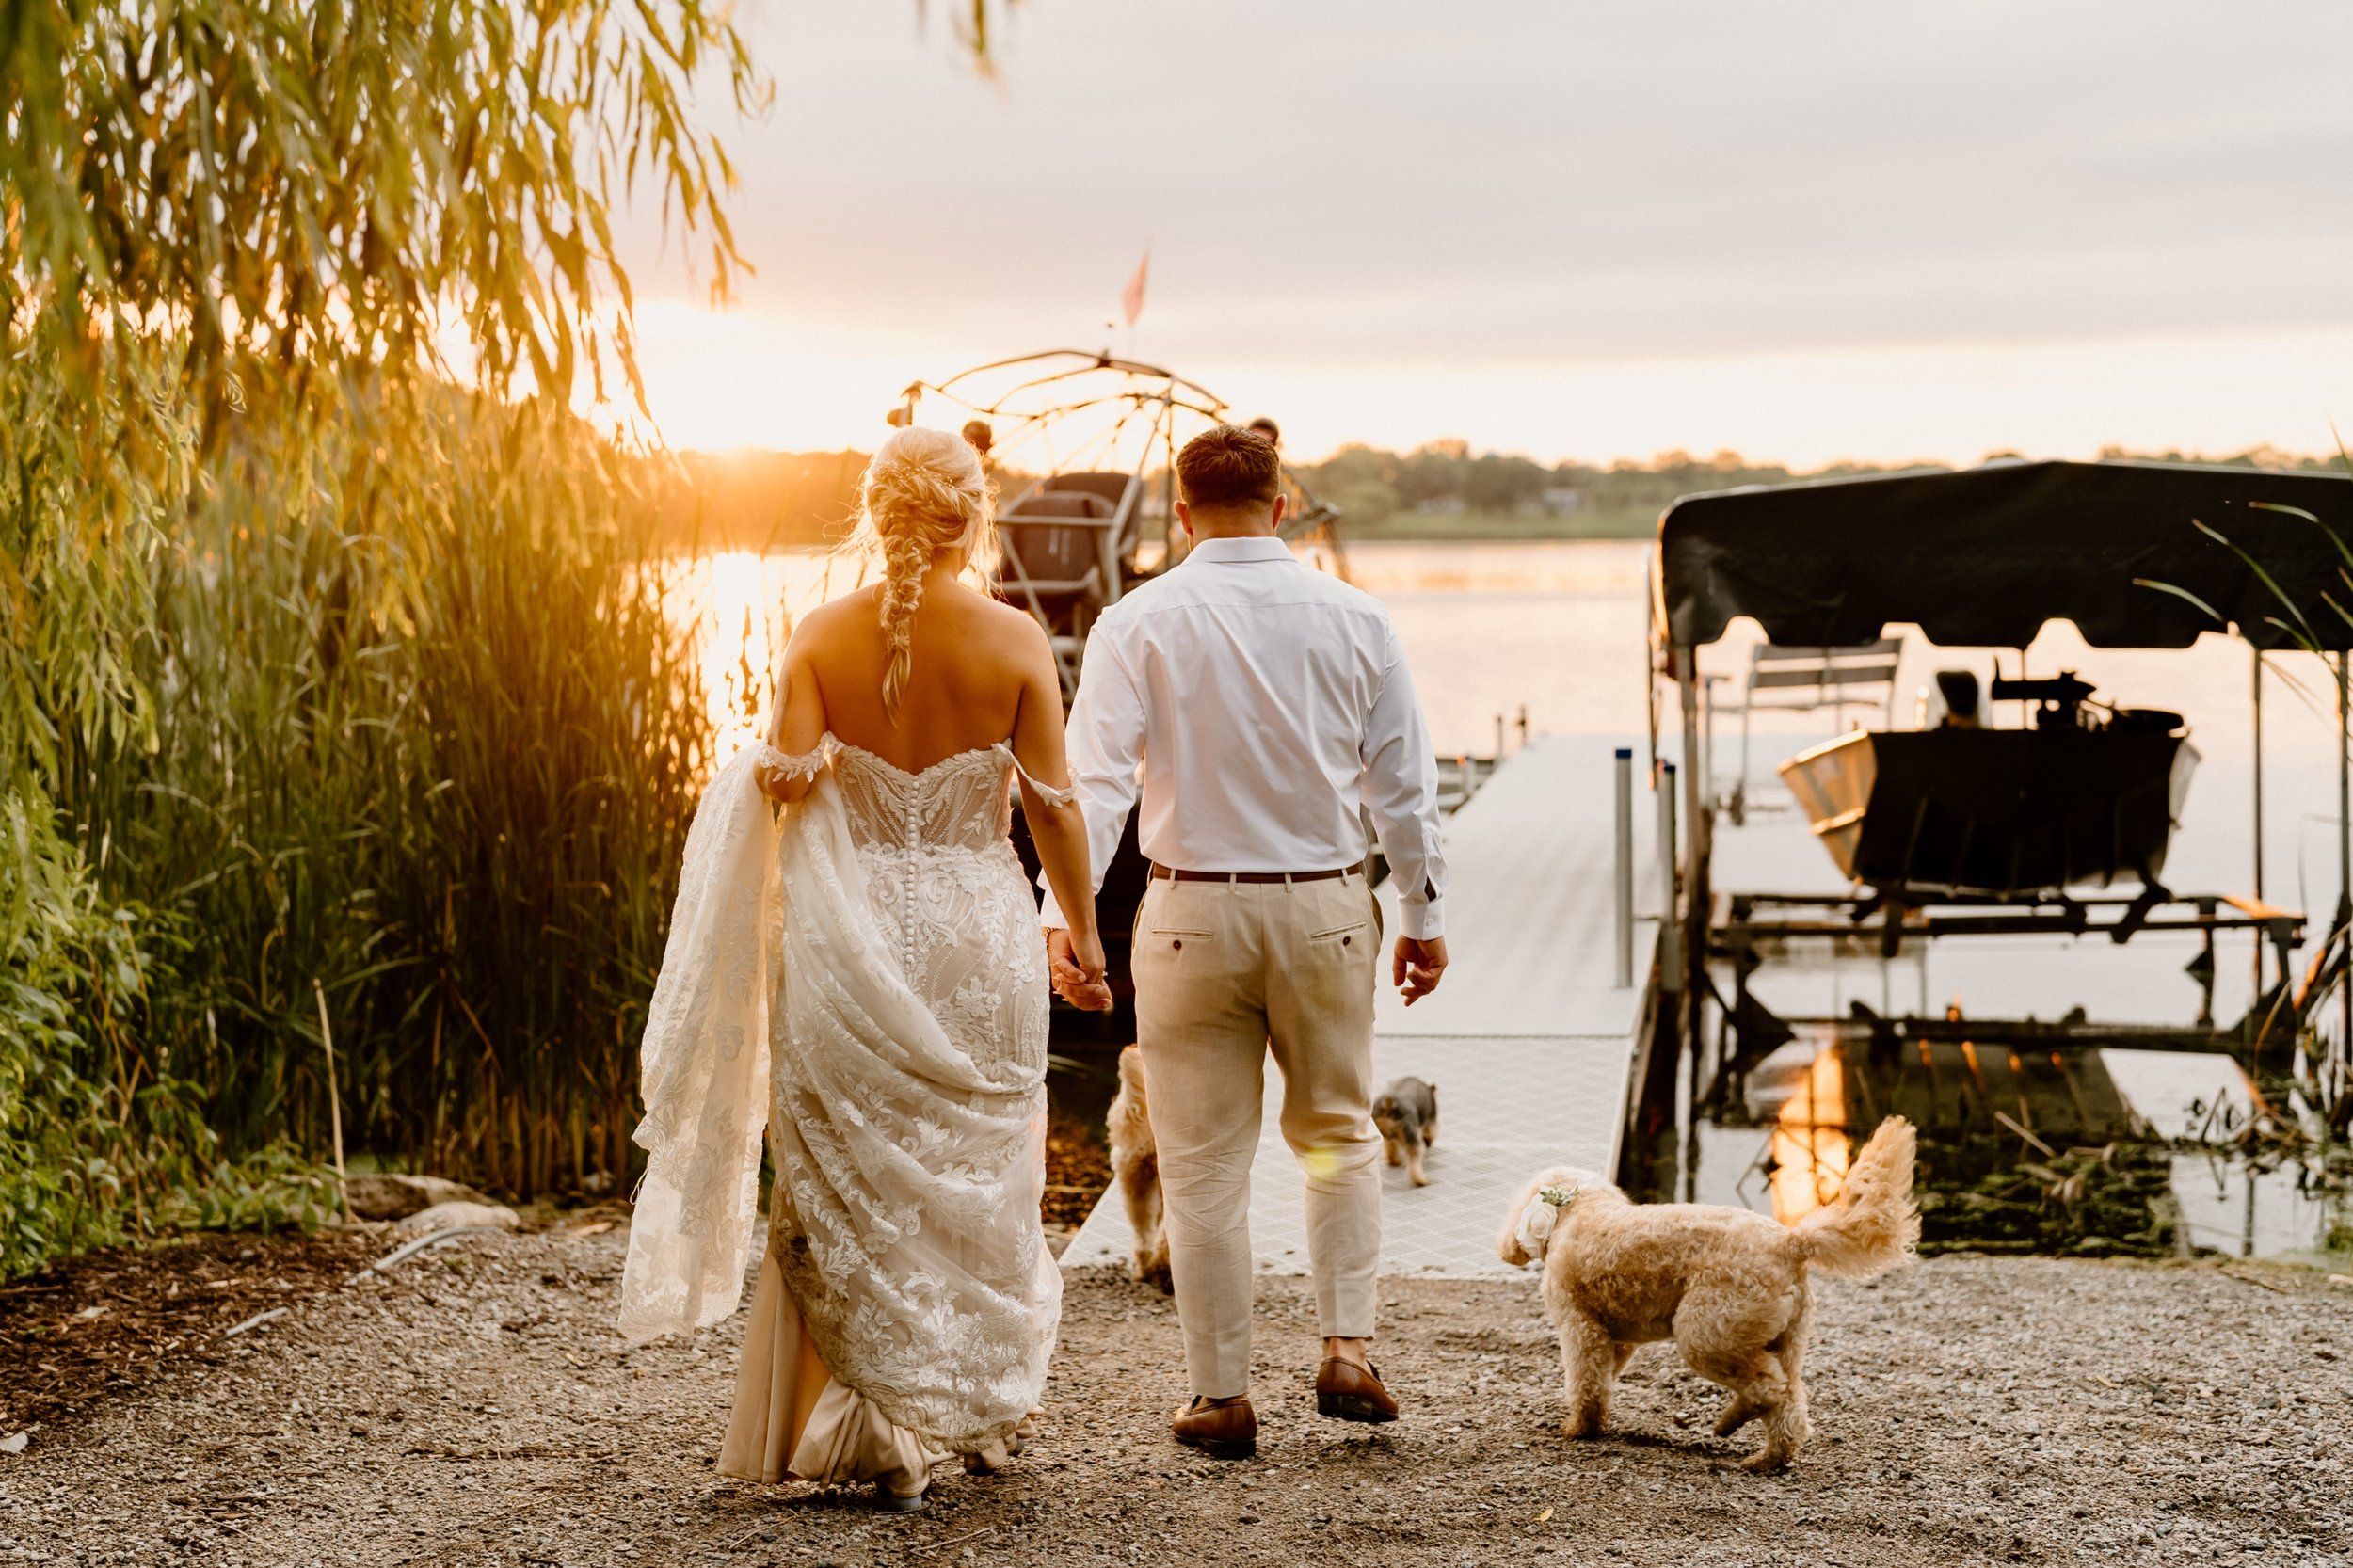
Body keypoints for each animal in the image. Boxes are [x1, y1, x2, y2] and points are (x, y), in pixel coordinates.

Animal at [1497, 1111, 1920, 1468]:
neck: (1575, 1211)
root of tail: (1789, 1241)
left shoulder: (1580, 1329)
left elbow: (1585, 1381)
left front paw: (1579, 1428)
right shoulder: (1616, 1339)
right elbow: (1600, 1381)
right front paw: (1592, 1419)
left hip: (1708, 1332)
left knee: (1767, 1388)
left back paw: (1729, 1423)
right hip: (1785, 1340)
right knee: (1790, 1406)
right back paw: (1767, 1459)